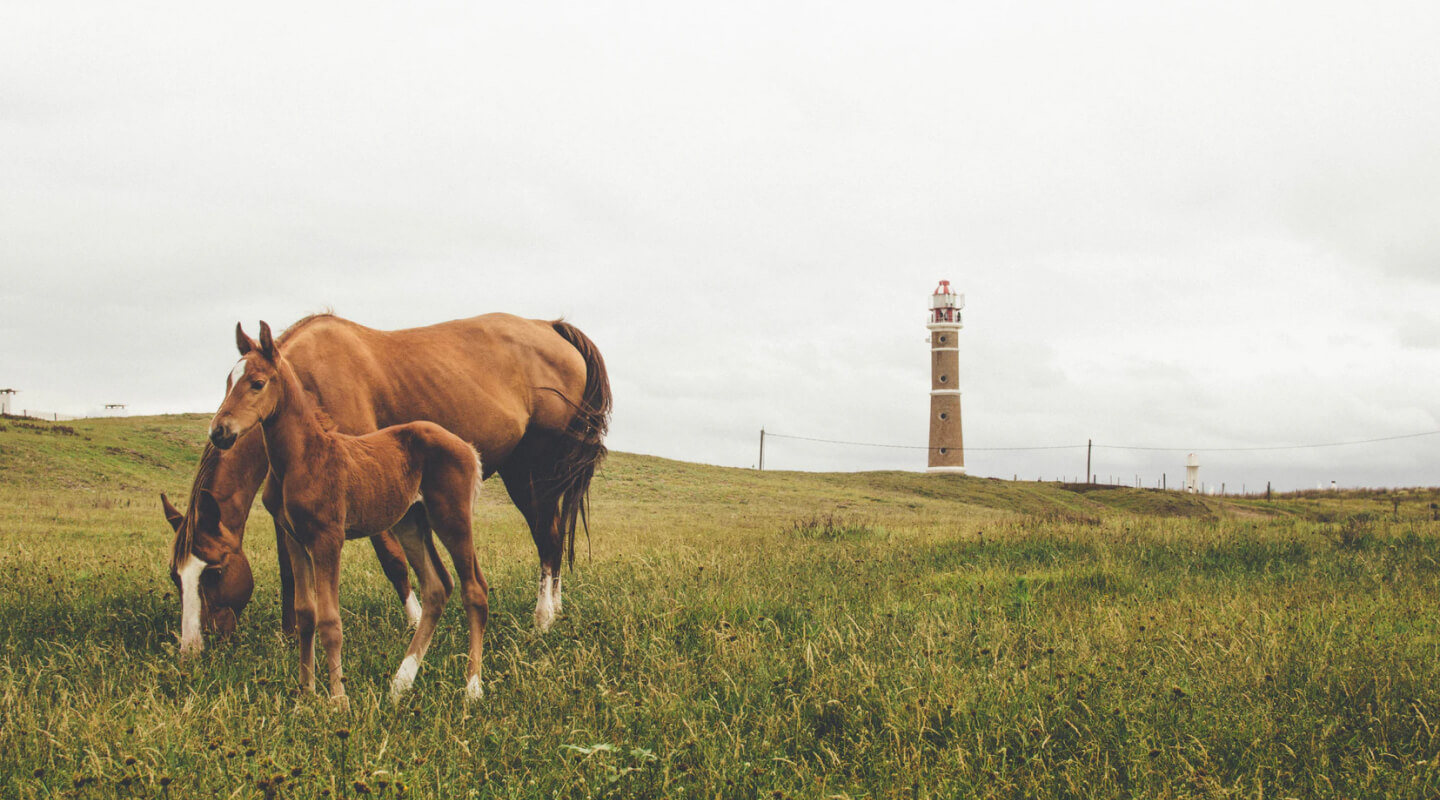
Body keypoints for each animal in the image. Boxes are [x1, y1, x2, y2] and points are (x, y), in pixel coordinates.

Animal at [165, 309, 610, 653]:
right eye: (175, 575)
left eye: (214, 572)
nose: (193, 646)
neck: (307, 380)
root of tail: (551, 327)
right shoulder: (291, 508)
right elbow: (289, 570)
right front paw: (291, 633)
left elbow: (392, 560)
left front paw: (416, 621)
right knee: (554, 537)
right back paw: (555, 609)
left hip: (532, 472)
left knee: (547, 539)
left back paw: (543, 619)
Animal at [210, 322, 486, 710]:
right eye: (228, 380)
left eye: (257, 383)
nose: (219, 432)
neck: (301, 458)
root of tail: (468, 448)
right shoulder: (296, 539)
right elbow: (306, 614)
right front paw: (305, 695)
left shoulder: (328, 538)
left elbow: (330, 620)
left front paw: (339, 700)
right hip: (411, 522)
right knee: (437, 587)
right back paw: (400, 684)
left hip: (452, 518)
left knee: (473, 589)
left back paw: (472, 688)